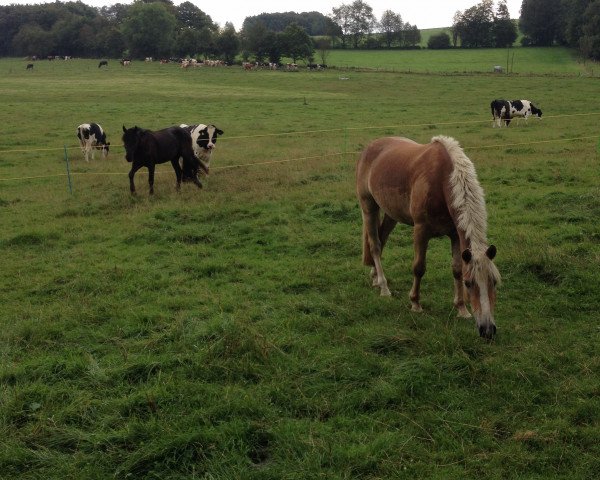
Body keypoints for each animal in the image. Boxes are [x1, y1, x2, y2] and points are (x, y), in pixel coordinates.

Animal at [356, 135, 502, 338]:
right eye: (469, 283)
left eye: (494, 282)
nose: (487, 330)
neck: (441, 180)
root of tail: (370, 146)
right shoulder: (421, 230)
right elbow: (419, 267)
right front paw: (415, 303)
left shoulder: (454, 235)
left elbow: (456, 269)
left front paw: (461, 309)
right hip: (368, 206)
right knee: (375, 245)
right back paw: (384, 287)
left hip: (391, 214)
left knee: (382, 239)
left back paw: (375, 278)